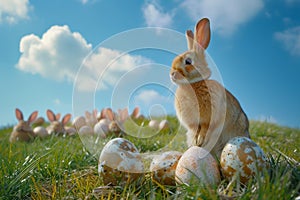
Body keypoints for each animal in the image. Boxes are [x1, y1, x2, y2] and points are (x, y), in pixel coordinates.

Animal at [170, 17, 250, 158]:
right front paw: (196, 141)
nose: (172, 74)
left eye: (188, 61)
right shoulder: (193, 124)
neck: (193, 84)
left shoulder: (209, 119)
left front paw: (200, 139)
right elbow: (195, 130)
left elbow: (205, 128)